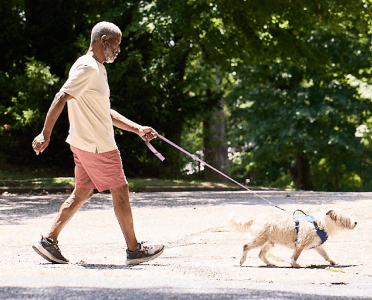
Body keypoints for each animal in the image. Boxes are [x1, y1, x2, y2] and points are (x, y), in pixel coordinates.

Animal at [230, 209, 358, 268]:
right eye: (347, 218)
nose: (356, 222)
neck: (319, 223)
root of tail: (256, 219)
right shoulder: (300, 244)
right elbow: (295, 256)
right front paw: (295, 264)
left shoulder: (318, 246)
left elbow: (326, 255)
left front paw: (333, 261)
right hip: (259, 239)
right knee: (246, 246)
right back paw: (242, 260)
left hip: (269, 242)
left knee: (261, 254)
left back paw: (270, 263)